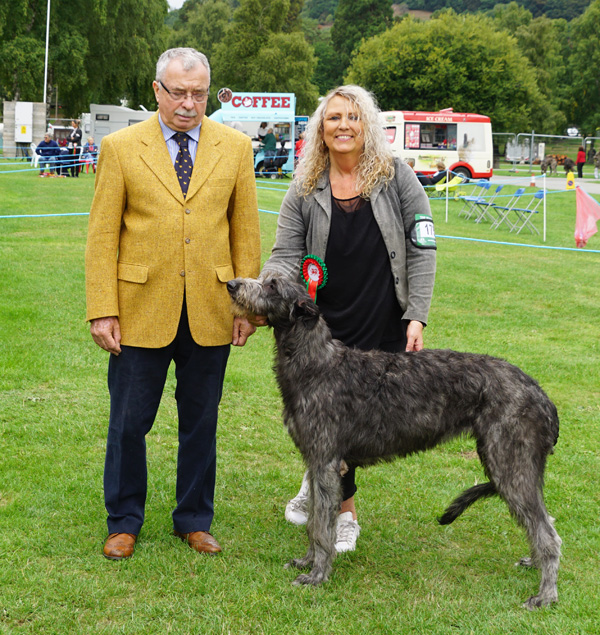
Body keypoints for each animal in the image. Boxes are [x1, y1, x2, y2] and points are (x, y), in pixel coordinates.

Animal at [226, 274, 564, 612]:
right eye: (264, 279)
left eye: (272, 286)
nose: (231, 284)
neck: (317, 364)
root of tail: (541, 395)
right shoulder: (316, 461)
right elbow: (314, 522)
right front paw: (307, 561)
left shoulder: (325, 463)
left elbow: (321, 526)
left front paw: (317, 575)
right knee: (544, 522)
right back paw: (535, 565)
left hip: (510, 465)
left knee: (548, 534)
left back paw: (545, 594)